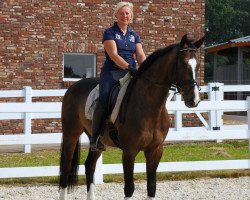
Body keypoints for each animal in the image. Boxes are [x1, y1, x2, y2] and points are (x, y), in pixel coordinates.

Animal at [59, 34, 205, 200]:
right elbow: (129, 188)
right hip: (71, 134)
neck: (148, 107)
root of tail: (72, 87)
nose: (194, 99)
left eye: (197, 65)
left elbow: (151, 187)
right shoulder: (129, 151)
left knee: (90, 166)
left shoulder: (155, 150)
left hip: (96, 140)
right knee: (66, 166)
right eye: (183, 64)